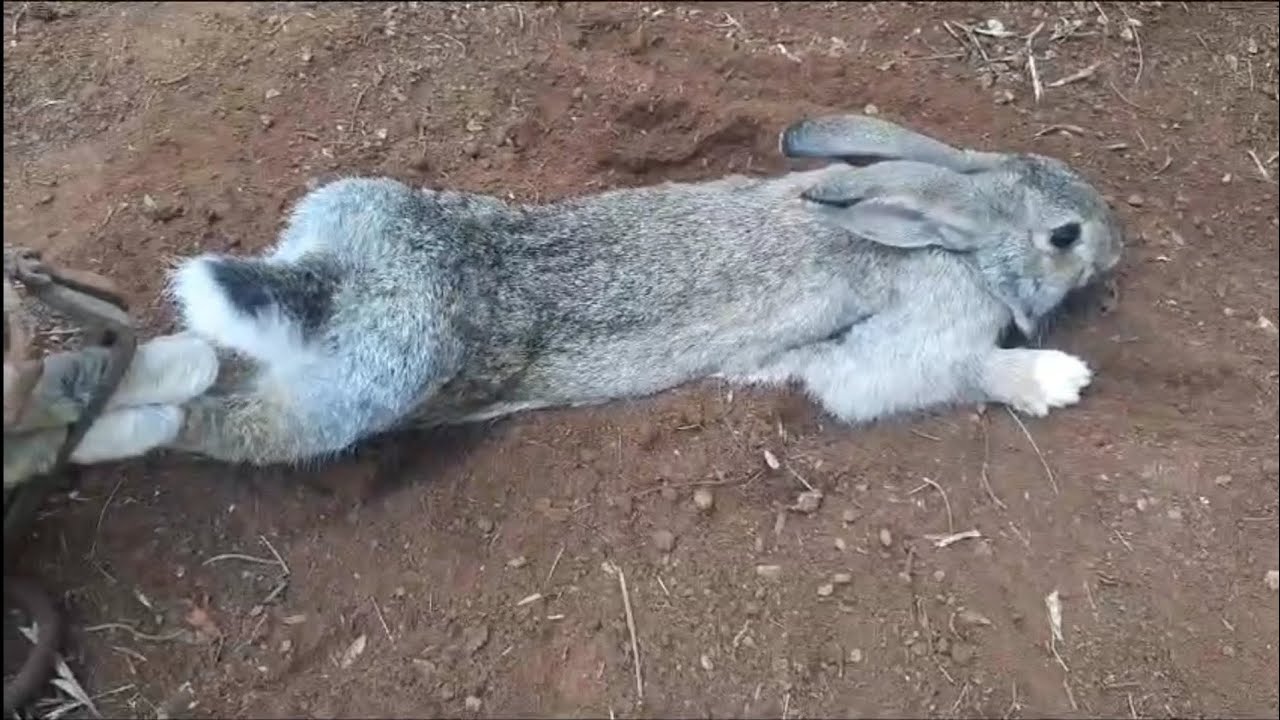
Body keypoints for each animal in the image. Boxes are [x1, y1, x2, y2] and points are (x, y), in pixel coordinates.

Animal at [159, 113, 1123, 466]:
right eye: (1063, 236)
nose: (1116, 247)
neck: (950, 241)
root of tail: (334, 279)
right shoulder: (898, 353)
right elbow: (954, 373)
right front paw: (1055, 379)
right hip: (358, 391)